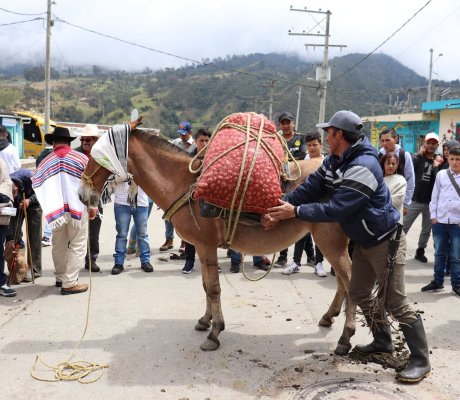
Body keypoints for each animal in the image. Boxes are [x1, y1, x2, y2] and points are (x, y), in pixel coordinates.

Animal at [78, 118, 356, 354]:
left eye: (98, 156)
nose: (82, 194)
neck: (184, 184)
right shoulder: (202, 249)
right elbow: (205, 286)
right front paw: (205, 320)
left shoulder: (206, 245)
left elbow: (213, 288)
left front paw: (215, 333)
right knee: (344, 282)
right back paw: (329, 317)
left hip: (330, 241)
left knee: (350, 281)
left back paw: (345, 338)